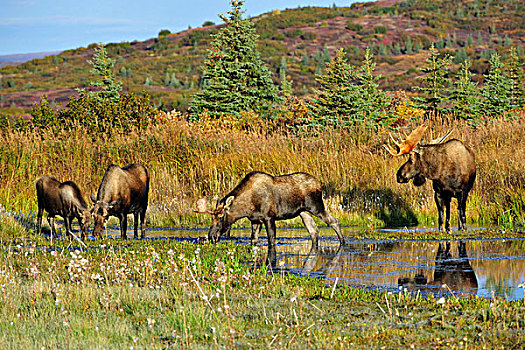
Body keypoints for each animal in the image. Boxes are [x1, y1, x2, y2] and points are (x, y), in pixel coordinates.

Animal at [194, 170, 346, 250]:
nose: (211, 236)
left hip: (316, 207)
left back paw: (343, 242)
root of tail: (319, 184)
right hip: (304, 212)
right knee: (314, 230)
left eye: (220, 217)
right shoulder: (255, 220)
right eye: (211, 218)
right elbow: (253, 240)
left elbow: (271, 240)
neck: (246, 207)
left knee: (333, 221)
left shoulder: (269, 217)